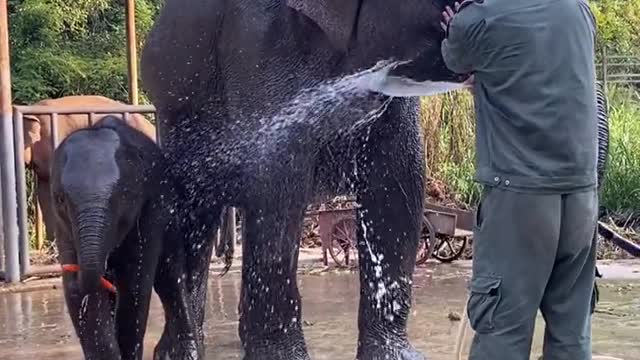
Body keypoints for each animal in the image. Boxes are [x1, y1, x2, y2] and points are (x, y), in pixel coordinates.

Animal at [51, 116, 175, 358]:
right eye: (60, 199)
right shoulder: (62, 226)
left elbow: (135, 283)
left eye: (124, 195)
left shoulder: (150, 207)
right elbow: (83, 296)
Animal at [142, 1, 468, 358]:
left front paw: (397, 355)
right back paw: (181, 352)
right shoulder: (259, 42)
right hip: (176, 116)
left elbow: (398, 180)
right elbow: (278, 179)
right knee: (191, 215)